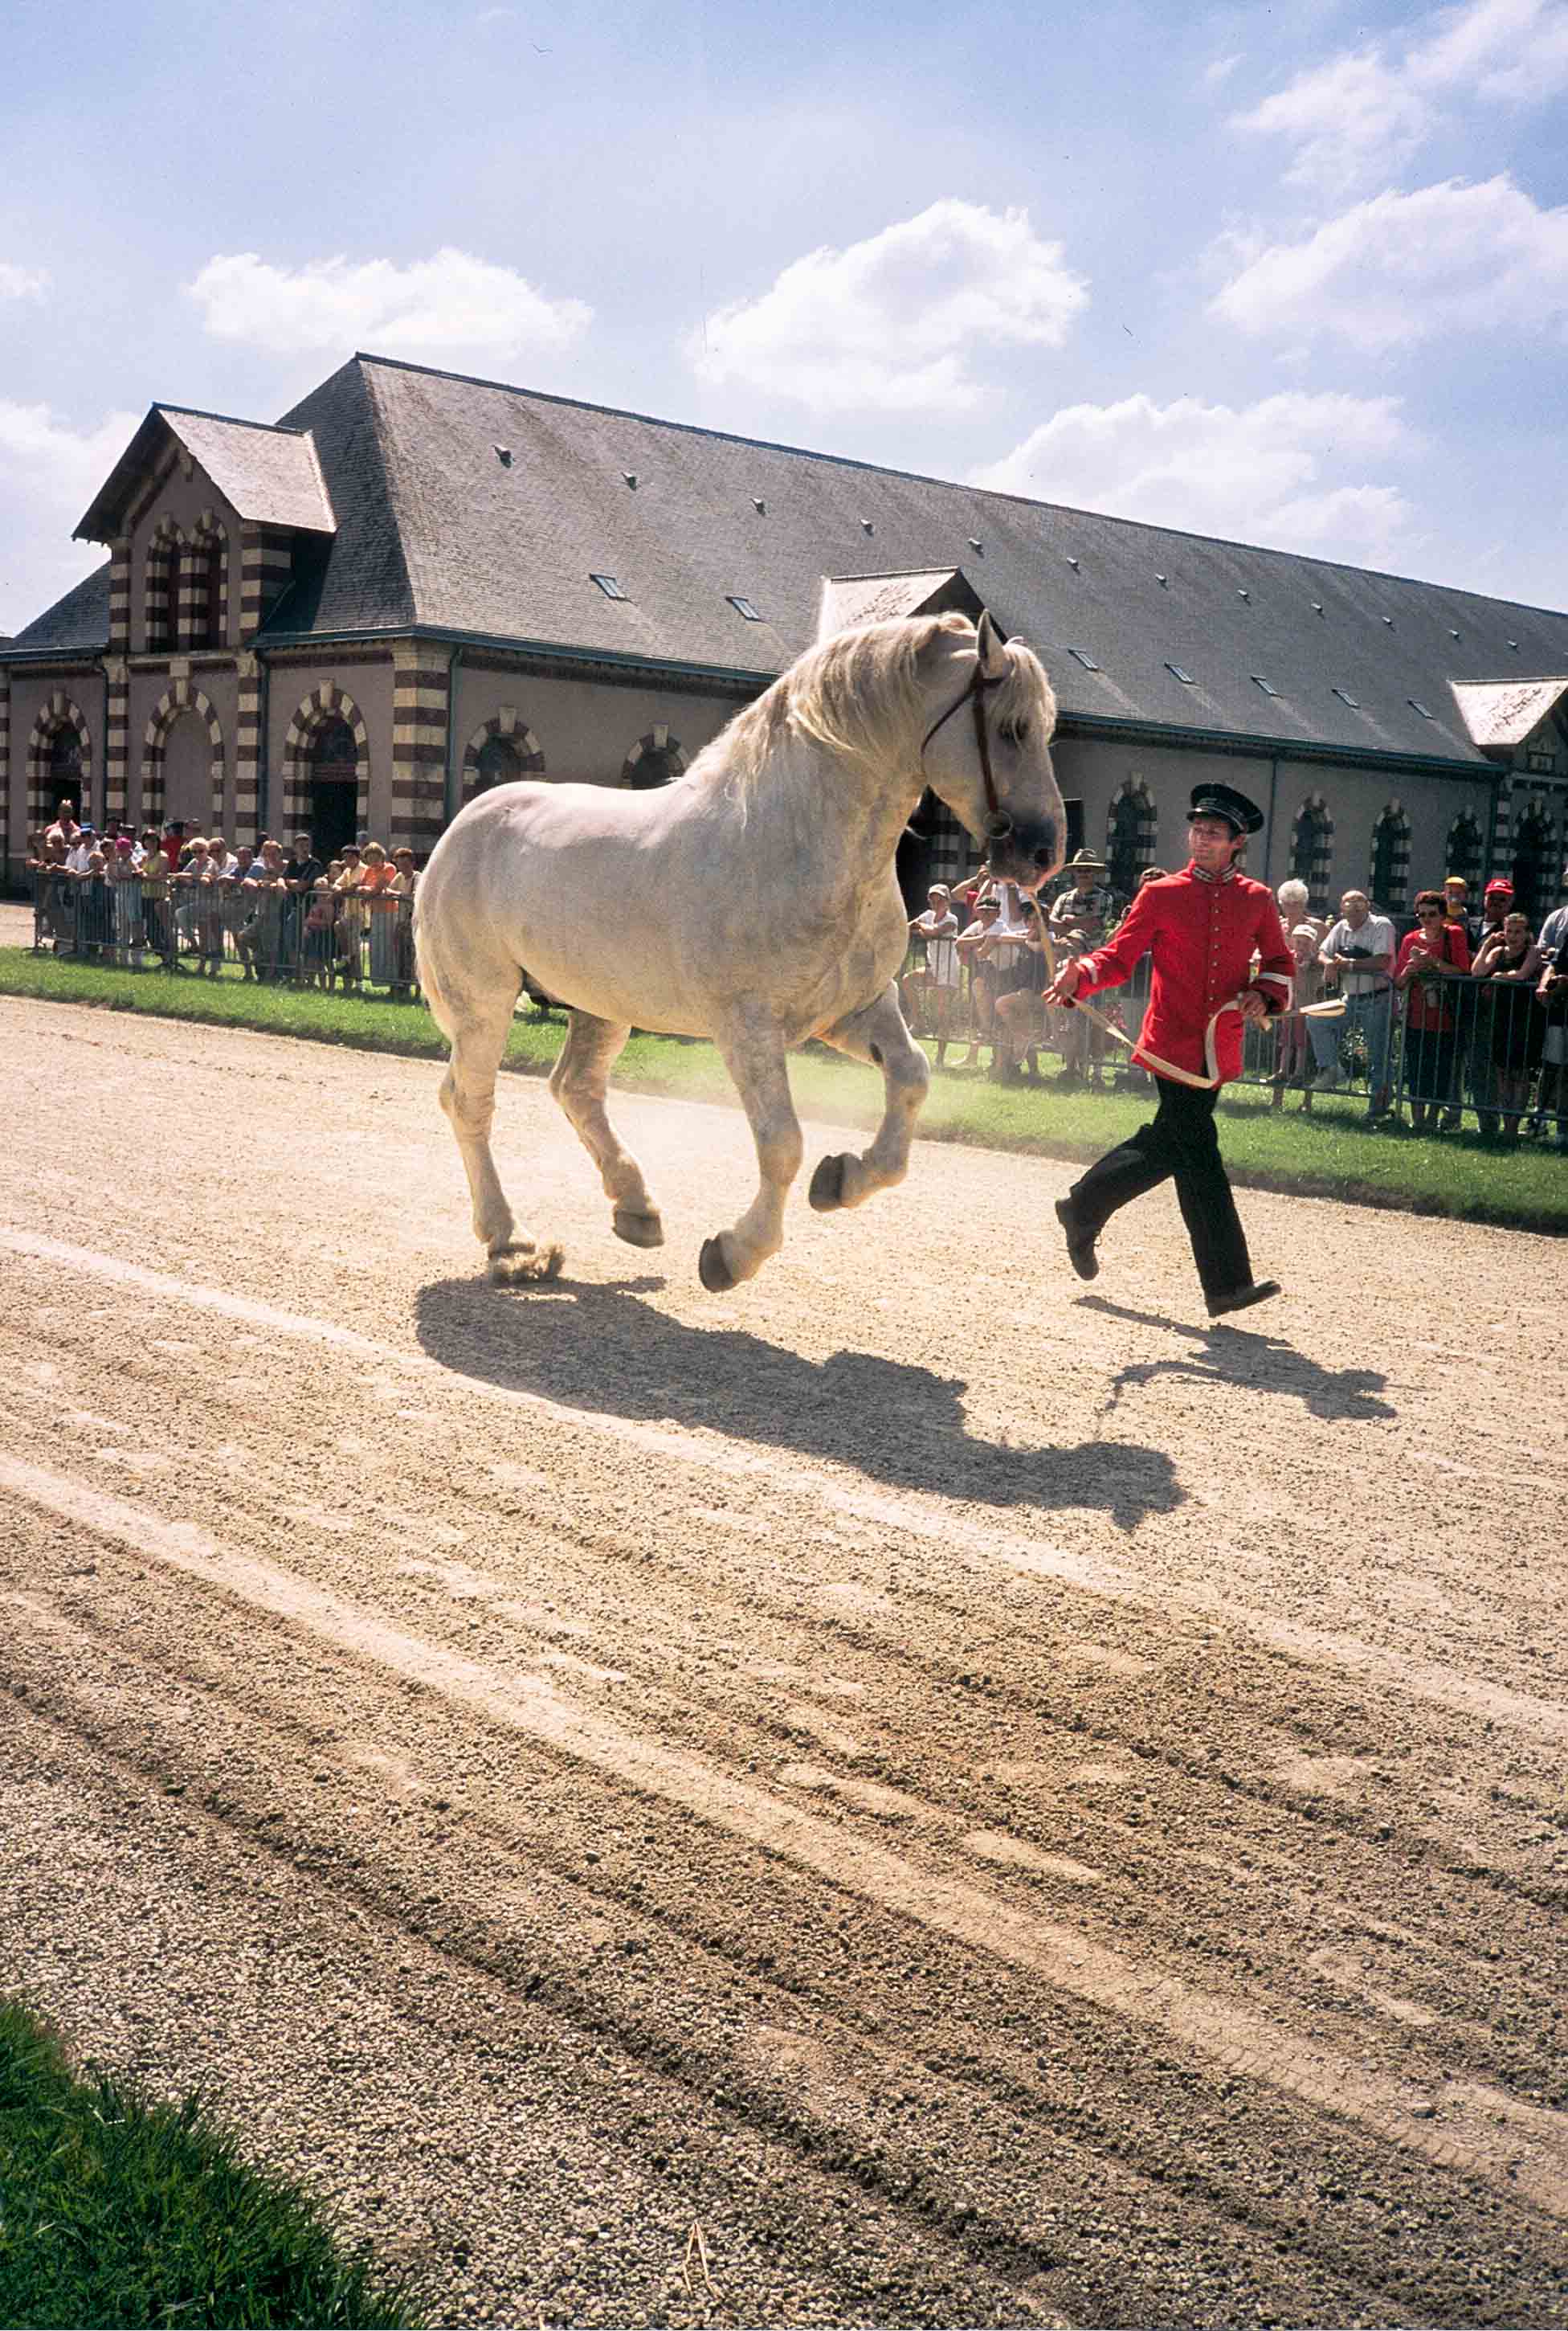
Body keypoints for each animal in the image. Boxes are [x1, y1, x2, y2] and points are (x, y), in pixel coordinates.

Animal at [414, 611, 1062, 1295]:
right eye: (1012, 728)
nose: (1044, 852)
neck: (797, 842)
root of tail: (462, 830)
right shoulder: (747, 1026)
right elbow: (782, 1142)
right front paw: (736, 1251)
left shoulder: (851, 1009)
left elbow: (911, 1078)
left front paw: (843, 1178)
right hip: (484, 1005)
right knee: (470, 1103)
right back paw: (510, 1241)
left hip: (602, 1004)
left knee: (576, 1089)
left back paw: (635, 1207)